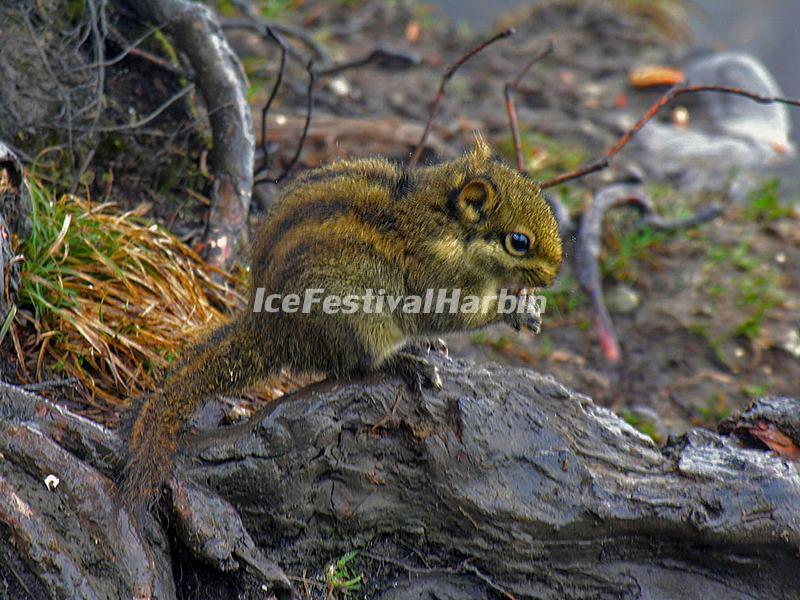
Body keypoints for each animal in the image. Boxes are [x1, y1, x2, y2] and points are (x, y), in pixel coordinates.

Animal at [122, 136, 564, 506]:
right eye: (519, 242)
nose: (552, 273)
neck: (446, 225)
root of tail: (269, 327)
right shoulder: (438, 277)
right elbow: (450, 314)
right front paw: (514, 308)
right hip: (358, 322)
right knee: (358, 366)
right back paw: (406, 363)